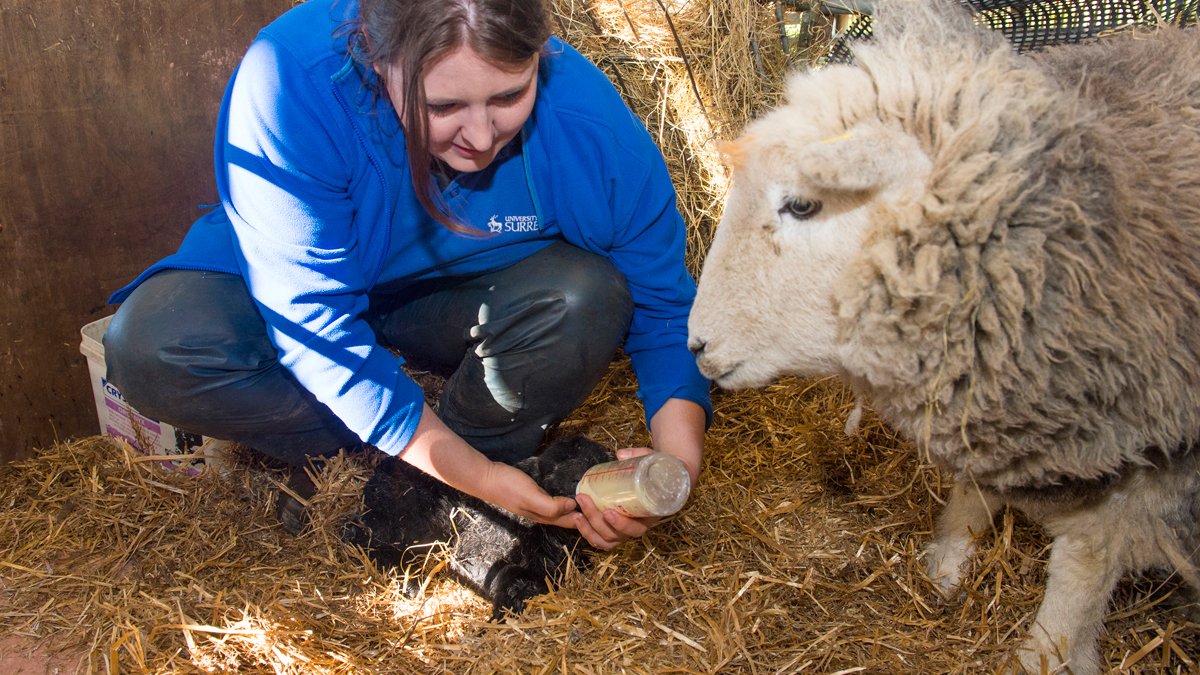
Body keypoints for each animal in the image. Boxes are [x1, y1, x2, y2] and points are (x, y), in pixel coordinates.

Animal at [691, 2, 1200, 667]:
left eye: (801, 204)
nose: (696, 344)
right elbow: (971, 490)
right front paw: (945, 565)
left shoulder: (1145, 456)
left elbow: (1085, 565)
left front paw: (1047, 653)